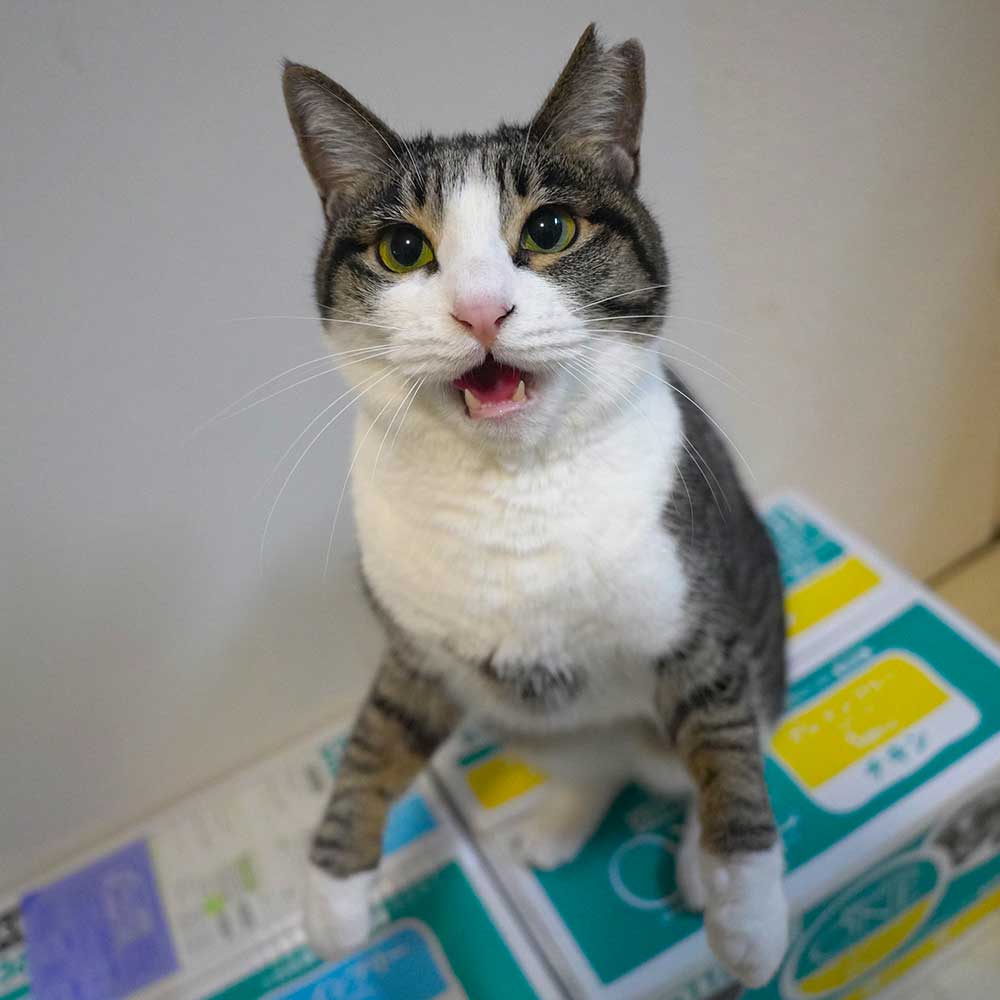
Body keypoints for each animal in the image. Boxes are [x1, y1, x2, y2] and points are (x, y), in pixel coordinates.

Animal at [281, 24, 789, 989]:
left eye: (548, 230)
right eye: (403, 249)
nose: (482, 310)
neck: (510, 490)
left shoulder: (695, 619)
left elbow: (726, 748)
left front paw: (748, 915)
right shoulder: (418, 650)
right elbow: (371, 744)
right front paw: (329, 901)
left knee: (702, 760)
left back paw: (695, 864)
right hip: (516, 720)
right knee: (596, 764)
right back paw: (562, 819)